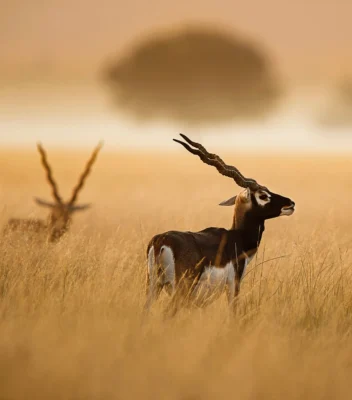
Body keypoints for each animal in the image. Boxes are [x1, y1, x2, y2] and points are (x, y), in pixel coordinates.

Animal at [144, 134, 296, 316]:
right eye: (263, 195)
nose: (290, 203)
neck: (237, 238)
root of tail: (160, 241)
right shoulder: (233, 284)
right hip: (180, 289)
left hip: (153, 286)